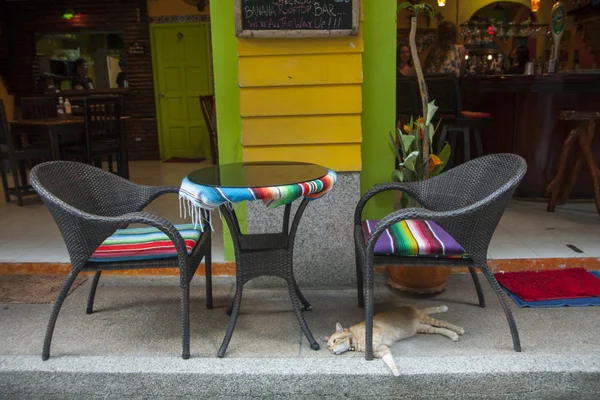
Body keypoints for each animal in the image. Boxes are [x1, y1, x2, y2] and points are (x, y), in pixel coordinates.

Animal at [328, 306, 464, 376]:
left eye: (335, 341)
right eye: (329, 347)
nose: (332, 351)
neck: (354, 338)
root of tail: (411, 307)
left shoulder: (375, 334)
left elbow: (372, 345)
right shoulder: (383, 350)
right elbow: (389, 360)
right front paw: (396, 371)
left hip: (426, 320)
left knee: (444, 323)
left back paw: (458, 329)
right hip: (424, 328)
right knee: (440, 329)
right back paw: (453, 335)